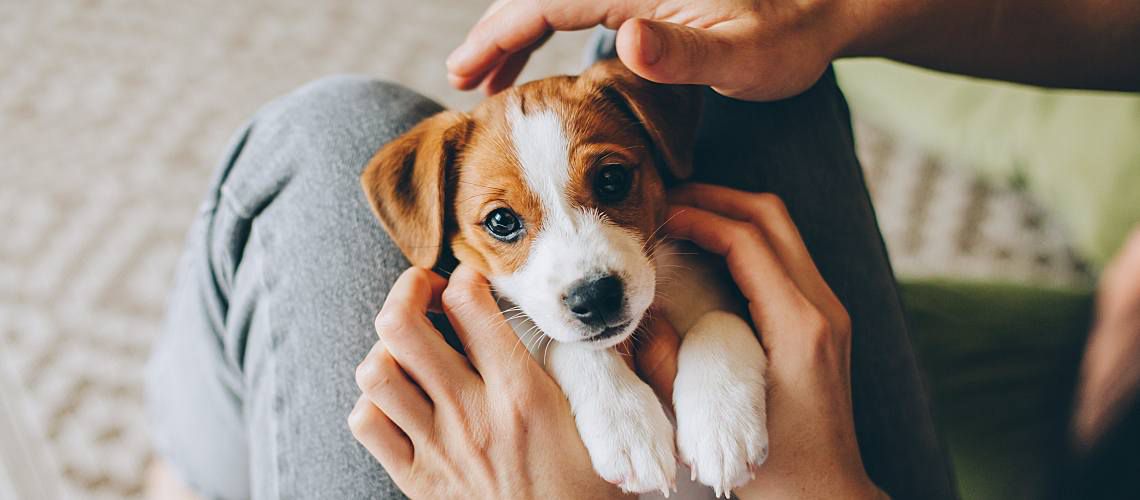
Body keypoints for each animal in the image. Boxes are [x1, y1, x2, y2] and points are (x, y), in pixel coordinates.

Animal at [362, 58, 775, 496]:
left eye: (611, 179)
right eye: (501, 221)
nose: (594, 297)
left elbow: (720, 318)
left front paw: (721, 423)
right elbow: (568, 346)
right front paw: (627, 426)